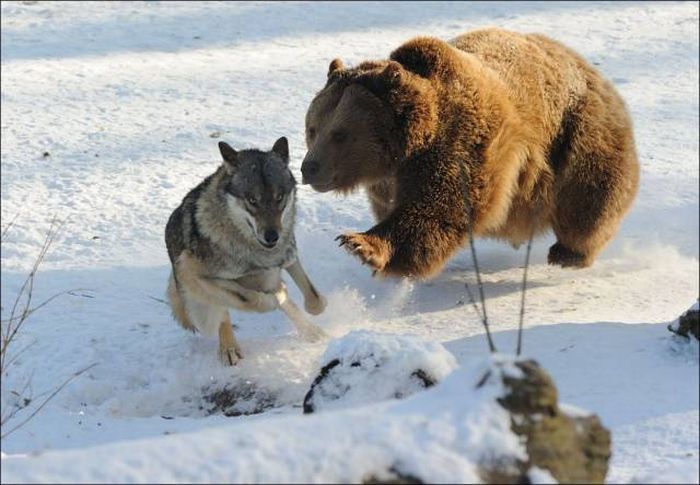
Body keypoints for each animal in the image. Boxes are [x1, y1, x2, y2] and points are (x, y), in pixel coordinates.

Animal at [300, 28, 640, 278]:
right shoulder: (386, 183)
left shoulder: (463, 142)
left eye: (340, 134)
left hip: (579, 132)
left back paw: (569, 252)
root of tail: (588, 67)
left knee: (590, 197)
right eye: (313, 128)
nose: (309, 167)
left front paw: (361, 245)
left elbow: (438, 207)